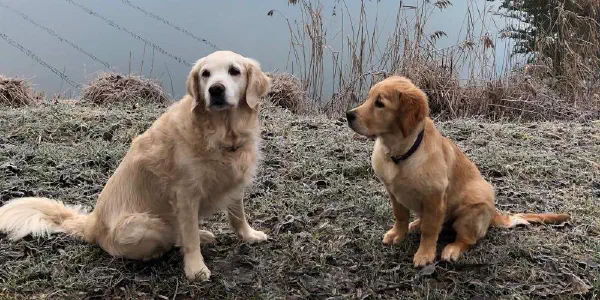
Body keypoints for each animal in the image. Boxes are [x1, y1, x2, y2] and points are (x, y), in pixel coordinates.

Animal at [0, 49, 270, 282]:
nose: (215, 89)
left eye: (234, 71)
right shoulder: (185, 195)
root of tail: (92, 224)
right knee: (174, 238)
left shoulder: (235, 181)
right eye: (206, 74)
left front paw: (249, 235)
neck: (222, 133)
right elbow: (190, 237)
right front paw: (195, 269)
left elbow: (237, 216)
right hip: (145, 224)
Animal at [344, 76, 568, 266]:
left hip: (470, 212)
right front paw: (397, 234)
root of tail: (494, 213)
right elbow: (400, 216)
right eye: (369, 97)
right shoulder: (393, 192)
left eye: (380, 104)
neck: (402, 153)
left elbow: (430, 230)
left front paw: (425, 254)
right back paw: (415, 224)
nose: (348, 115)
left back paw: (452, 249)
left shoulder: (435, 198)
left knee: (468, 239)